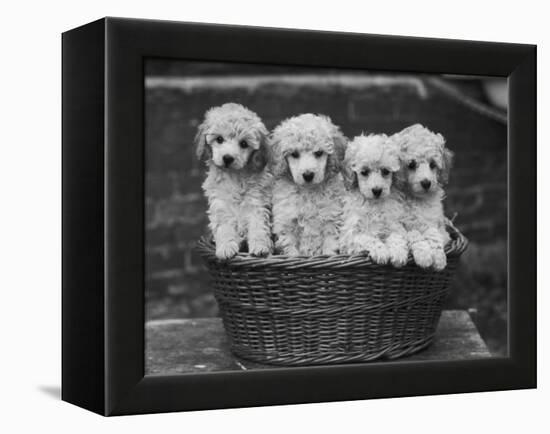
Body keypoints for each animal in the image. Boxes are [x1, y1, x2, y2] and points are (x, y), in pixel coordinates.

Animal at [198, 102, 274, 260]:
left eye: (244, 143)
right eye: (219, 139)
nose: (227, 158)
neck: (235, 176)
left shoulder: (257, 203)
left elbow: (258, 226)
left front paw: (261, 247)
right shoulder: (220, 205)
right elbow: (224, 228)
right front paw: (226, 247)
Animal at [270, 113, 348, 256]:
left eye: (319, 153)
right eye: (294, 154)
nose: (308, 175)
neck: (308, 191)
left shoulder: (331, 217)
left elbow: (330, 244)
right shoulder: (286, 221)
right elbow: (290, 248)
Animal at [340, 134, 410, 266]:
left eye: (385, 171)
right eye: (364, 172)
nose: (377, 190)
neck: (374, 204)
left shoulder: (394, 223)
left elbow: (397, 236)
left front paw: (398, 253)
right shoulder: (351, 235)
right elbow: (368, 238)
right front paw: (381, 252)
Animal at [394, 124, 454, 270]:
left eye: (433, 164)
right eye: (411, 164)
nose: (426, 183)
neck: (417, 200)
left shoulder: (436, 223)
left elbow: (433, 234)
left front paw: (438, 258)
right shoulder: (399, 224)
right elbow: (414, 234)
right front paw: (424, 256)